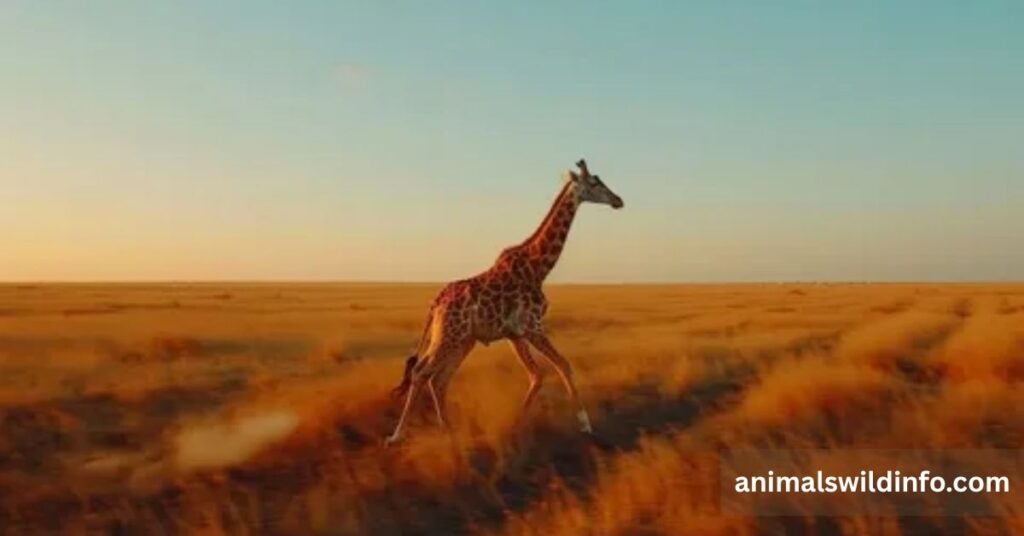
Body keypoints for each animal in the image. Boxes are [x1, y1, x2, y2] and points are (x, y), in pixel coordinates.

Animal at [386, 159, 623, 445]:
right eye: (595, 183)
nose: (618, 200)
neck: (539, 268)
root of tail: (435, 303)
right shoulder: (533, 327)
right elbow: (563, 366)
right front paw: (586, 425)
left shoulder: (515, 333)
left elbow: (536, 375)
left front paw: (519, 421)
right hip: (450, 337)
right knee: (422, 372)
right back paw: (397, 435)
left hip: (460, 339)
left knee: (439, 378)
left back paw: (448, 430)